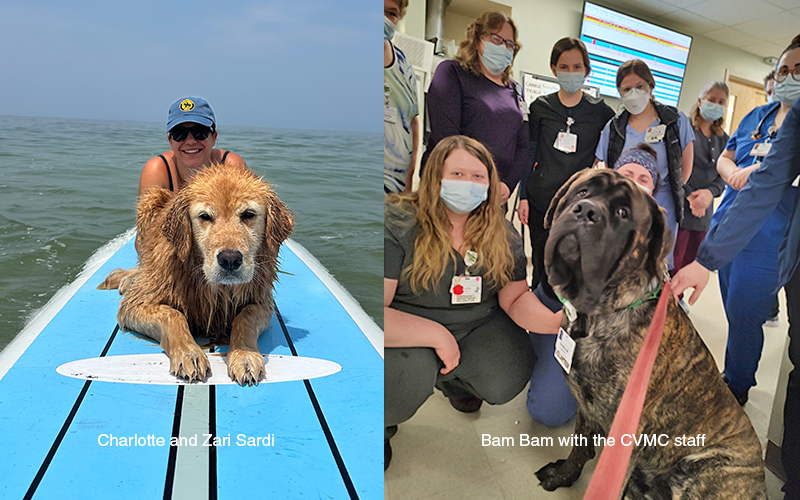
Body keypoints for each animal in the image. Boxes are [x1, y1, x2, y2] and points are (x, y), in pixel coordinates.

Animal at [99, 164, 294, 386]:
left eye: (248, 214)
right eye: (205, 216)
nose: (230, 260)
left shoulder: (261, 302)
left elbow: (245, 318)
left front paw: (244, 355)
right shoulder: (134, 304)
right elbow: (172, 315)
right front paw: (189, 353)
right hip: (151, 198)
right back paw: (129, 278)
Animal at [536, 170, 764, 498]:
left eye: (623, 213)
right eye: (582, 192)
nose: (586, 211)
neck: (598, 315)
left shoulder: (628, 434)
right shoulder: (587, 405)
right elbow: (579, 447)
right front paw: (563, 475)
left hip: (703, 470)